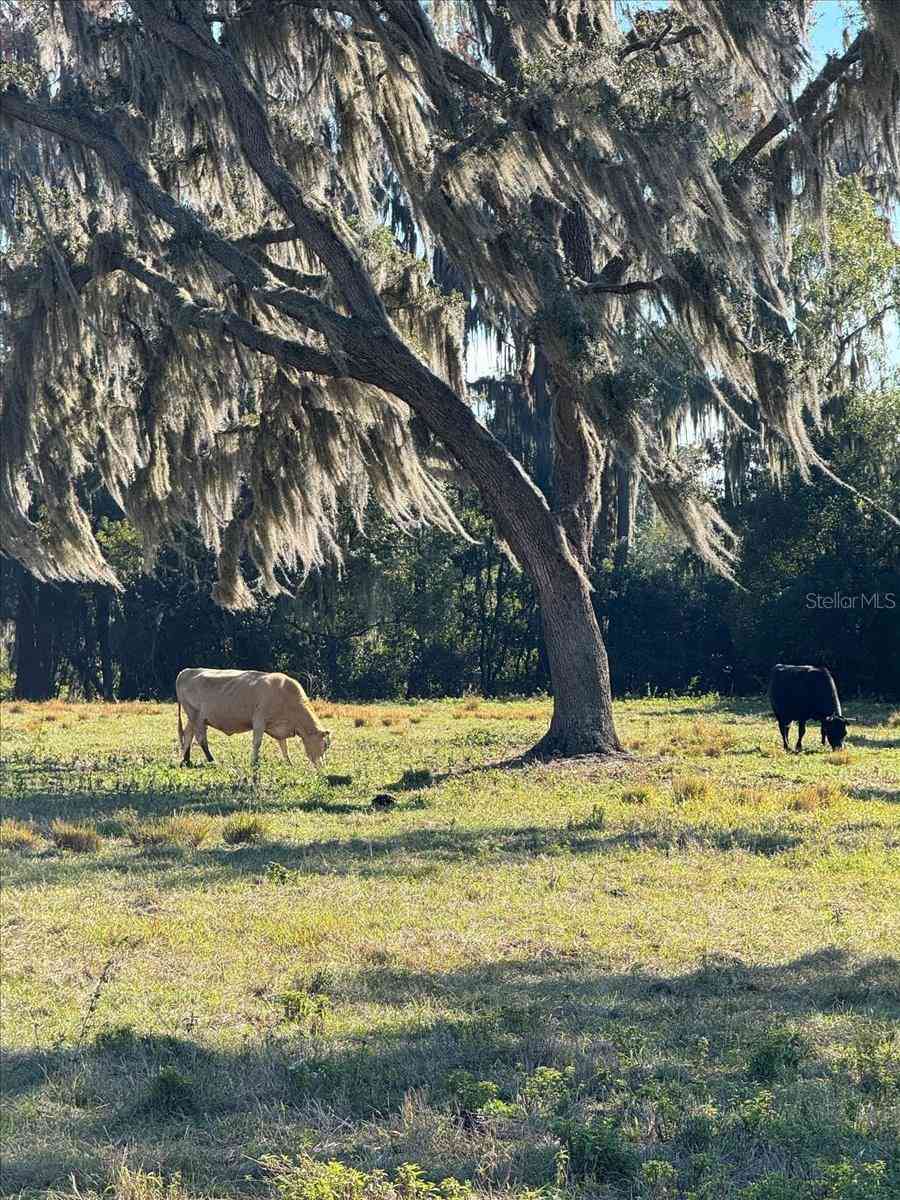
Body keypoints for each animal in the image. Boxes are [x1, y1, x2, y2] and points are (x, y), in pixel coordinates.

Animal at [176, 667, 331, 768]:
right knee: (200, 738)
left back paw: (186, 761)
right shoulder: (259, 721)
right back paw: (211, 760)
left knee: (188, 735)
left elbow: (283, 746)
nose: (322, 767)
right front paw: (254, 763)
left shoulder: (280, 728)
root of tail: (186, 671)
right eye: (324, 745)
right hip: (196, 716)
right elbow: (257, 743)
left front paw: (289, 763)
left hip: (193, 718)